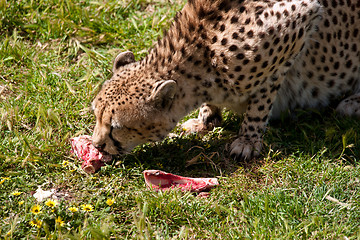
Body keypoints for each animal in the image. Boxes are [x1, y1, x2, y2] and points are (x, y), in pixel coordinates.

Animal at [91, 0, 360, 161]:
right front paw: (207, 118)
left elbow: (262, 99)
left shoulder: (298, 21)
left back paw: (352, 103)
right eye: (95, 115)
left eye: (116, 127)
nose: (96, 146)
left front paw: (247, 140)